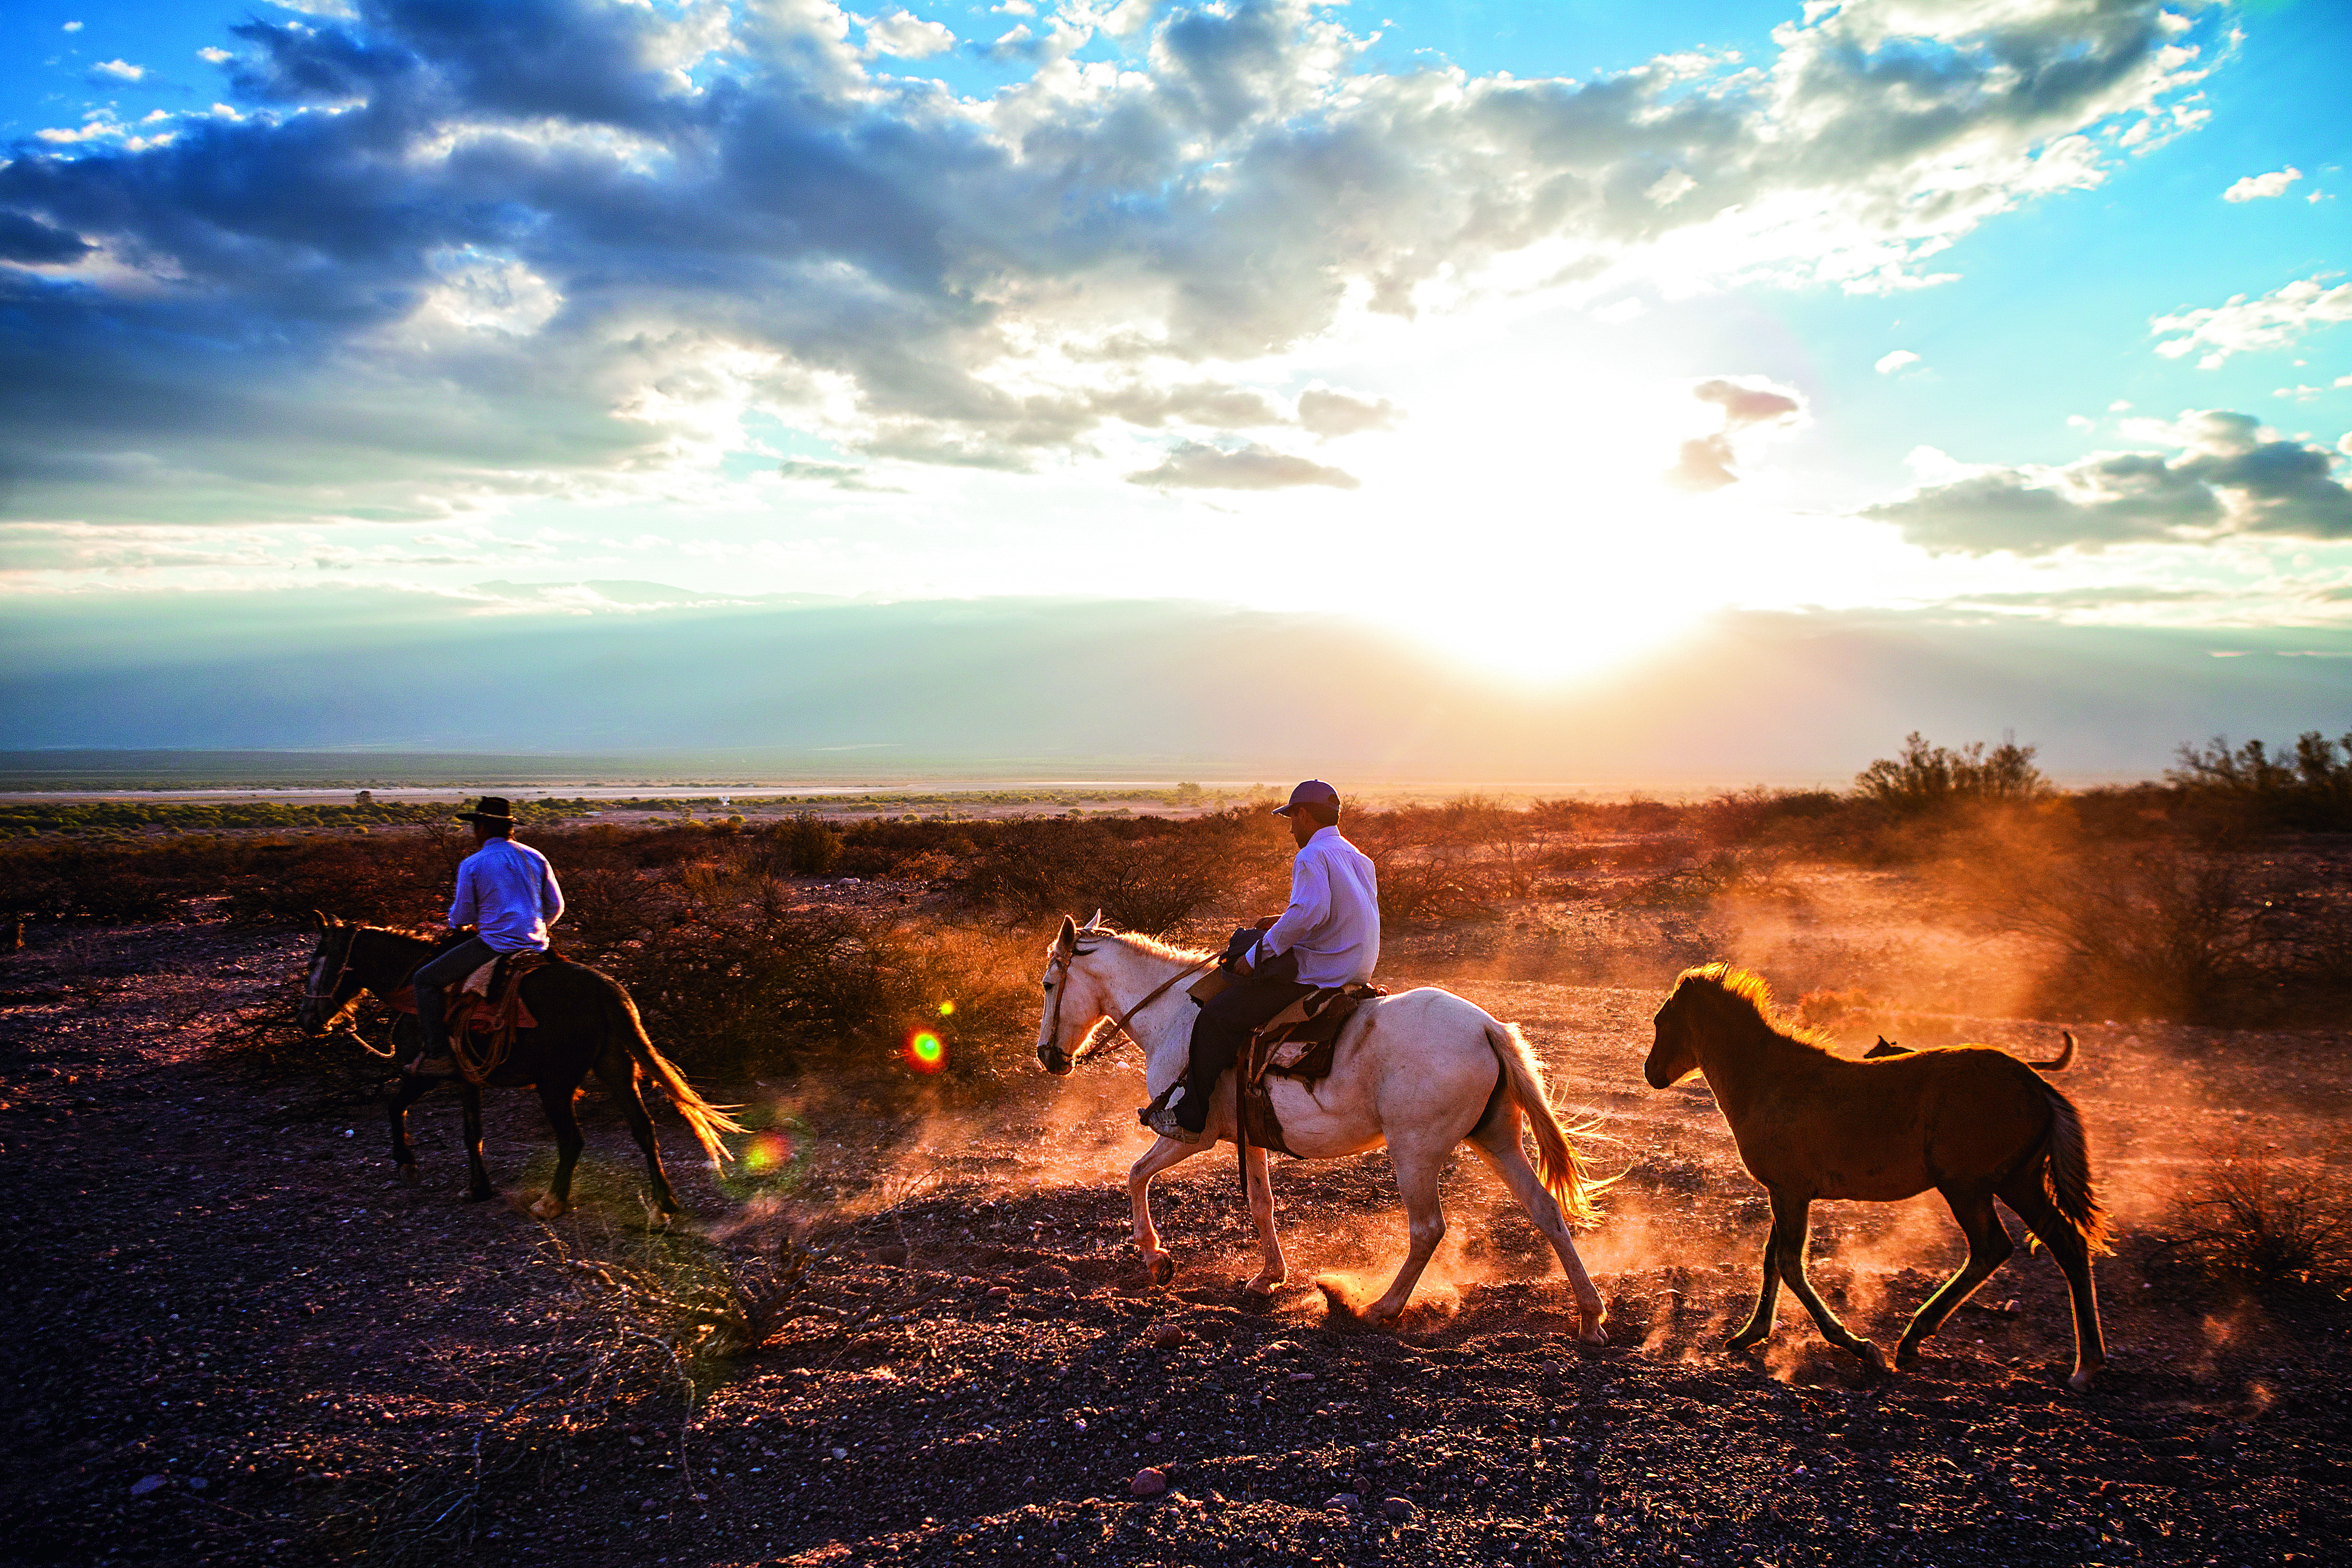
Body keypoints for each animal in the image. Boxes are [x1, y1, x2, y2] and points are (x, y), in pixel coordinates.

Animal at [294, 912, 738, 1222]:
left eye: (315, 962)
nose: (308, 1020)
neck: (411, 987)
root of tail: (604, 990)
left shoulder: (426, 1073)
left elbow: (396, 1105)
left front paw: (407, 1164)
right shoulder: (468, 1079)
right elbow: (472, 1132)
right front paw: (478, 1187)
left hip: (555, 1084)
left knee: (573, 1139)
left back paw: (553, 1201)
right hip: (616, 1069)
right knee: (644, 1129)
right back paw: (665, 1203)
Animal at [1039, 912, 1608, 1344]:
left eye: (1049, 984)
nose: (1047, 1057)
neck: (1175, 1015)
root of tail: (1486, 1028)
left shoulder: (1189, 1134)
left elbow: (1137, 1174)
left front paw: (1155, 1256)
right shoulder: (1251, 1136)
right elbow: (1261, 1203)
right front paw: (1268, 1277)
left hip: (1415, 1151)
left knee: (1428, 1228)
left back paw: (1380, 1308)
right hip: (1496, 1140)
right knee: (1545, 1210)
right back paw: (1589, 1316)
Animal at [1637, 964, 2116, 1391]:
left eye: (1662, 1020)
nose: (1651, 1072)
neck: (1770, 1080)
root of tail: (2036, 1084)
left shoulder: (1790, 1193)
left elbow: (1789, 1264)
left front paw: (1859, 1345)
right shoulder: (1784, 1191)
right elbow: (1772, 1258)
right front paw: (1749, 1334)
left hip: (1967, 1187)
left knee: (1992, 1247)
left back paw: (1912, 1339)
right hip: (2018, 1181)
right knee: (2068, 1245)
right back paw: (2086, 1365)